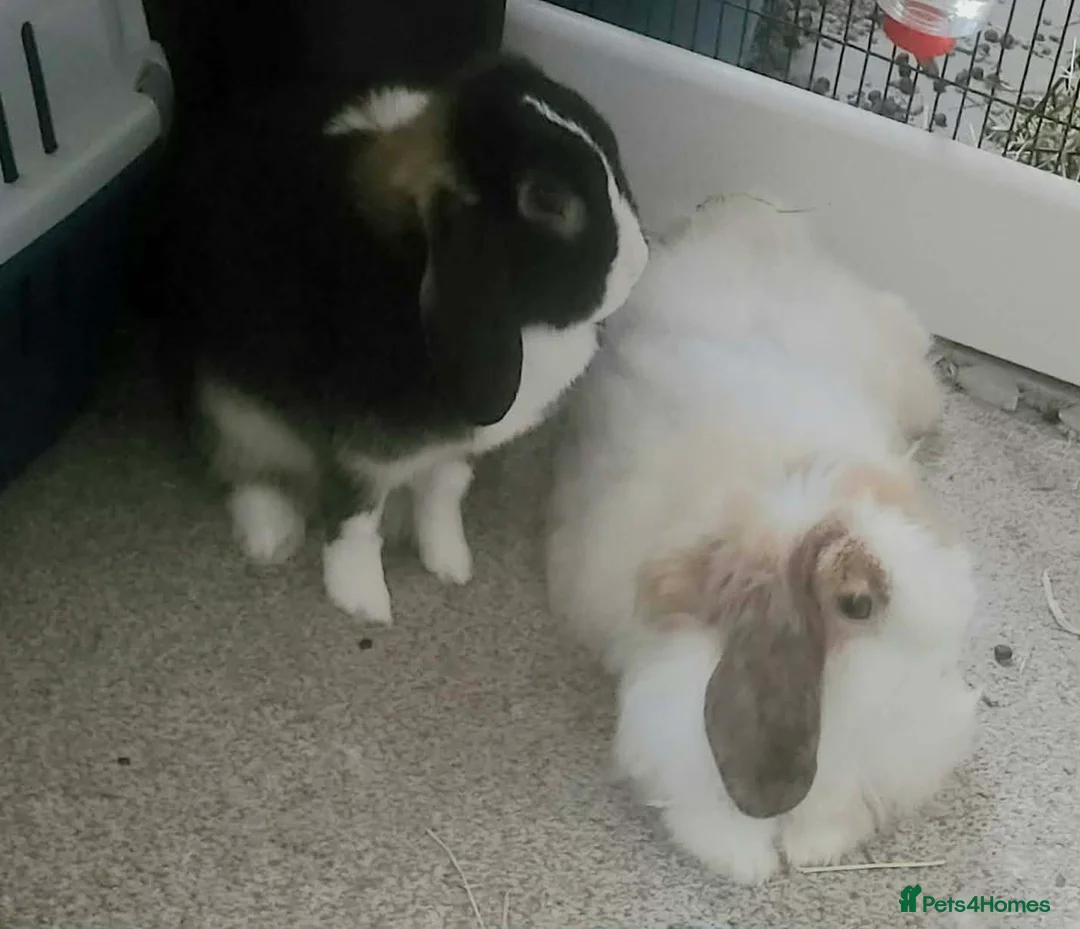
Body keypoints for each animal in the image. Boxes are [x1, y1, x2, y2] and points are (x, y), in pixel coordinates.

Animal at [147, 54, 649, 624]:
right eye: (547, 200)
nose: (640, 262)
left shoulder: (453, 452)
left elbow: (443, 496)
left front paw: (450, 563)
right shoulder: (359, 457)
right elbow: (356, 523)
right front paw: (363, 602)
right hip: (230, 408)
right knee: (240, 467)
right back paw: (271, 534)